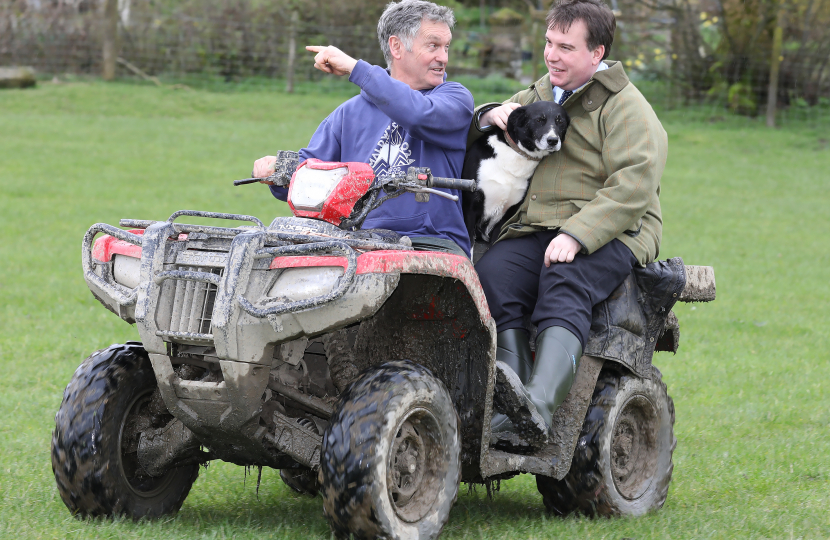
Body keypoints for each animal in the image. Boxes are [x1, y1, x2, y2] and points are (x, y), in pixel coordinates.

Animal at [462, 100, 572, 246]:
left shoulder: (506, 217)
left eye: (560, 121)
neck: (516, 155)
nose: (553, 140)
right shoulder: (470, 208)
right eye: (539, 120)